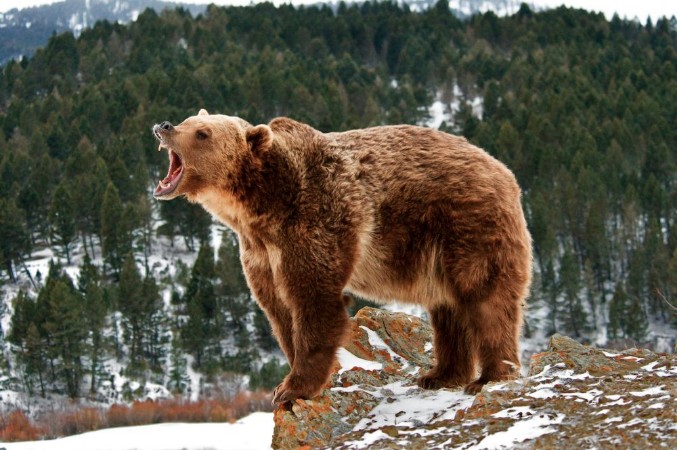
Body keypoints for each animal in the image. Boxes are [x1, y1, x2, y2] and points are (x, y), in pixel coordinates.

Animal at [152, 109, 532, 403]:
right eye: (190, 120)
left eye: (202, 133)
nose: (165, 126)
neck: (261, 207)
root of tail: (505, 172)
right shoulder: (260, 253)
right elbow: (279, 311)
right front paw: (289, 379)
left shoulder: (315, 220)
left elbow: (314, 301)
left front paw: (292, 389)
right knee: (448, 308)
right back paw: (440, 374)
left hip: (467, 225)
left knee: (486, 299)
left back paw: (489, 376)